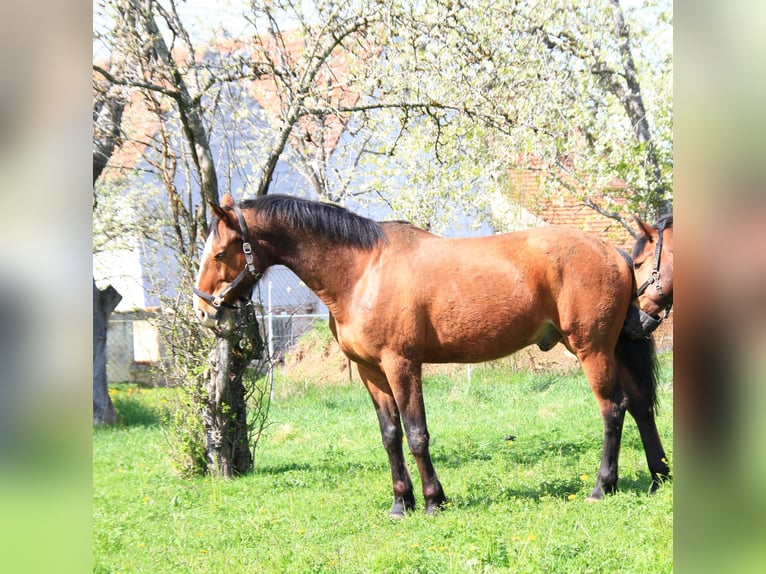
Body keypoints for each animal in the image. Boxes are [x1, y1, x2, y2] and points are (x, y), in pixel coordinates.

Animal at [193, 193, 670, 517]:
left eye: (220, 251)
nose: (202, 307)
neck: (362, 271)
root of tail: (614, 254)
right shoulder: (371, 372)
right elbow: (391, 435)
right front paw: (399, 503)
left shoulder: (401, 364)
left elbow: (417, 433)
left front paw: (432, 500)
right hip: (609, 348)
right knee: (640, 405)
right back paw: (658, 476)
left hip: (591, 349)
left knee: (613, 408)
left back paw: (603, 486)